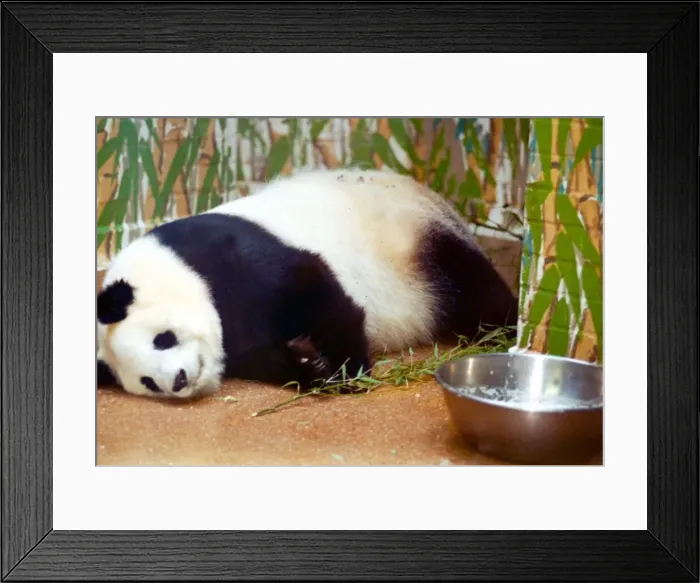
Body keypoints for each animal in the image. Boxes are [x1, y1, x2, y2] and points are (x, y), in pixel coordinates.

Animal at [97, 168, 518, 399]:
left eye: (162, 339)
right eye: (148, 382)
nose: (178, 381)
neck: (176, 268)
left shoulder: (230, 257)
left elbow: (314, 287)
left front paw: (348, 370)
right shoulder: (235, 341)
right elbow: (260, 356)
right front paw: (309, 365)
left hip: (416, 243)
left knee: (472, 288)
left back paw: (504, 331)